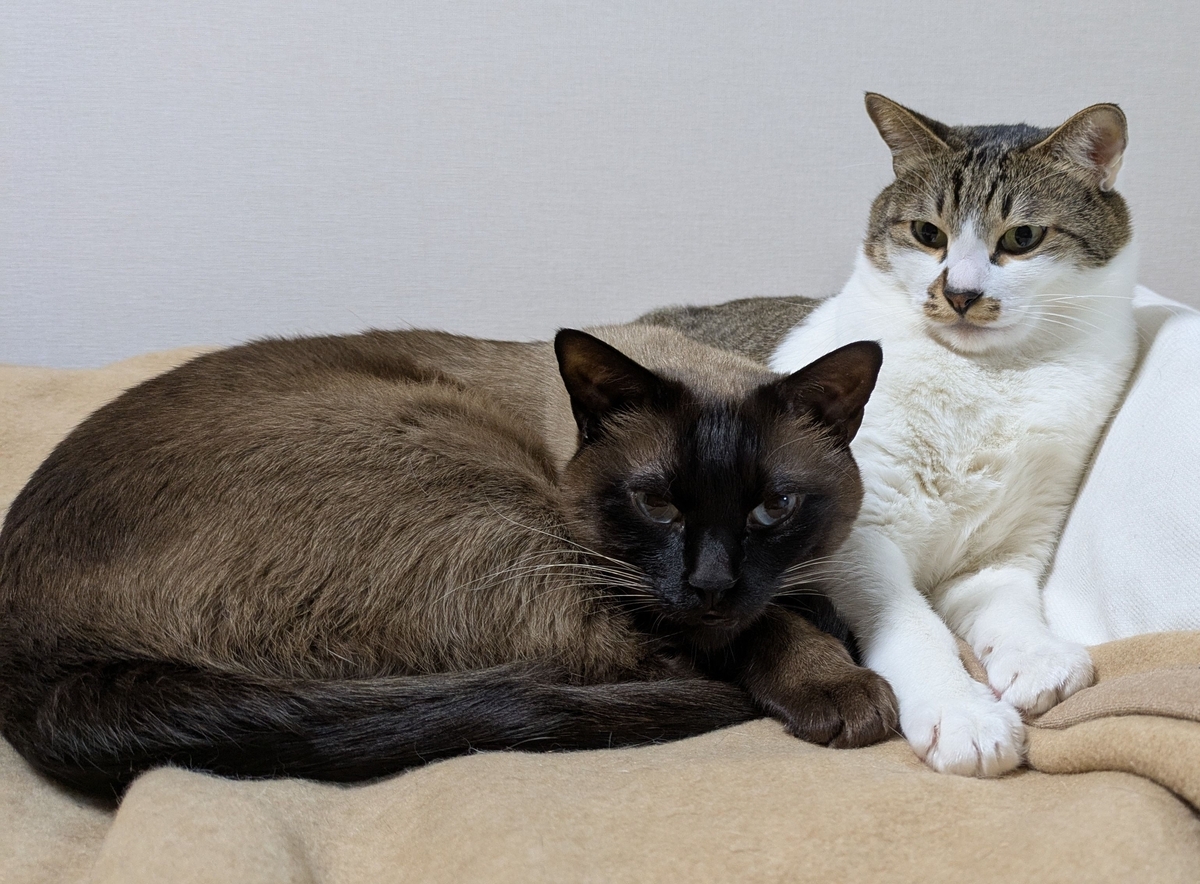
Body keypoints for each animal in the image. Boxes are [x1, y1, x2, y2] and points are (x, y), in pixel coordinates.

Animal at [0, 322, 898, 796]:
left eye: (772, 507)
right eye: (657, 504)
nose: (710, 582)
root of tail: (41, 679)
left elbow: (785, 602)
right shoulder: (638, 591)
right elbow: (766, 627)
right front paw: (842, 688)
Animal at [641, 94, 1137, 776]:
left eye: (1023, 238)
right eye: (928, 234)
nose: (959, 294)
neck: (987, 377)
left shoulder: (1004, 550)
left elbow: (1010, 605)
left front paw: (1036, 656)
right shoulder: (857, 537)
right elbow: (915, 625)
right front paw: (963, 714)